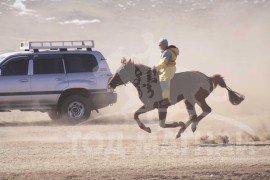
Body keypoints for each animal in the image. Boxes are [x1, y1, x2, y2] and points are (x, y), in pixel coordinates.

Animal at [108, 58, 245, 139]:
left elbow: (162, 124)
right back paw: (182, 131)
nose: (110, 83)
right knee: (196, 114)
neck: (149, 82)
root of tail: (209, 78)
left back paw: (189, 127)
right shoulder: (149, 106)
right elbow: (136, 114)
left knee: (203, 111)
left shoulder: (161, 106)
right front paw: (147, 129)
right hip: (190, 100)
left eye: (122, 72)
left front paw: (177, 123)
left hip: (194, 98)